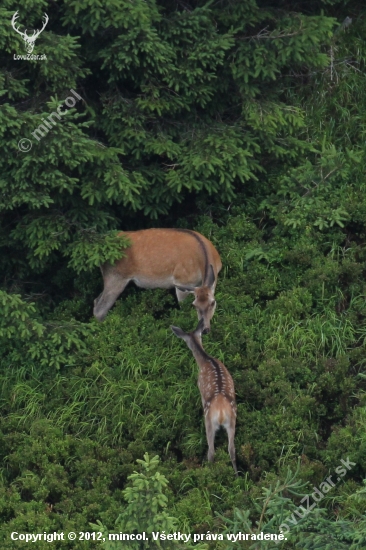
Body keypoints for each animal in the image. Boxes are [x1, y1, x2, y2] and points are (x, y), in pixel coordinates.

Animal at [93, 227, 222, 332]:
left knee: (96, 300)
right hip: (116, 276)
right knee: (100, 309)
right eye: (194, 305)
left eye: (213, 302)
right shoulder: (181, 280)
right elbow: (183, 310)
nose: (205, 330)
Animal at [171, 322, 239, 476]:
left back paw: (210, 471)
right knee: (232, 449)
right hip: (232, 420)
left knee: (211, 451)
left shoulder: (200, 387)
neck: (206, 360)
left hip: (209, 422)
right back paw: (237, 474)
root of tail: (221, 411)